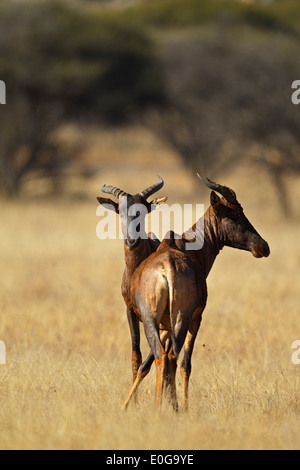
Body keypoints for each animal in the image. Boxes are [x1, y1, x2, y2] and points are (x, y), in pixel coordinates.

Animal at [96, 178, 166, 388]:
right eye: (120, 210)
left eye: (143, 210)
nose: (132, 240)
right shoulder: (129, 311)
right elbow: (136, 358)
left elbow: (149, 361)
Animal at [122, 173, 270, 412]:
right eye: (235, 212)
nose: (263, 247)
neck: (185, 247)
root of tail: (168, 268)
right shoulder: (197, 317)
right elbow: (186, 363)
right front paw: (182, 407)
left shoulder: (164, 324)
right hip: (182, 318)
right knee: (172, 357)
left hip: (152, 318)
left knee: (161, 356)